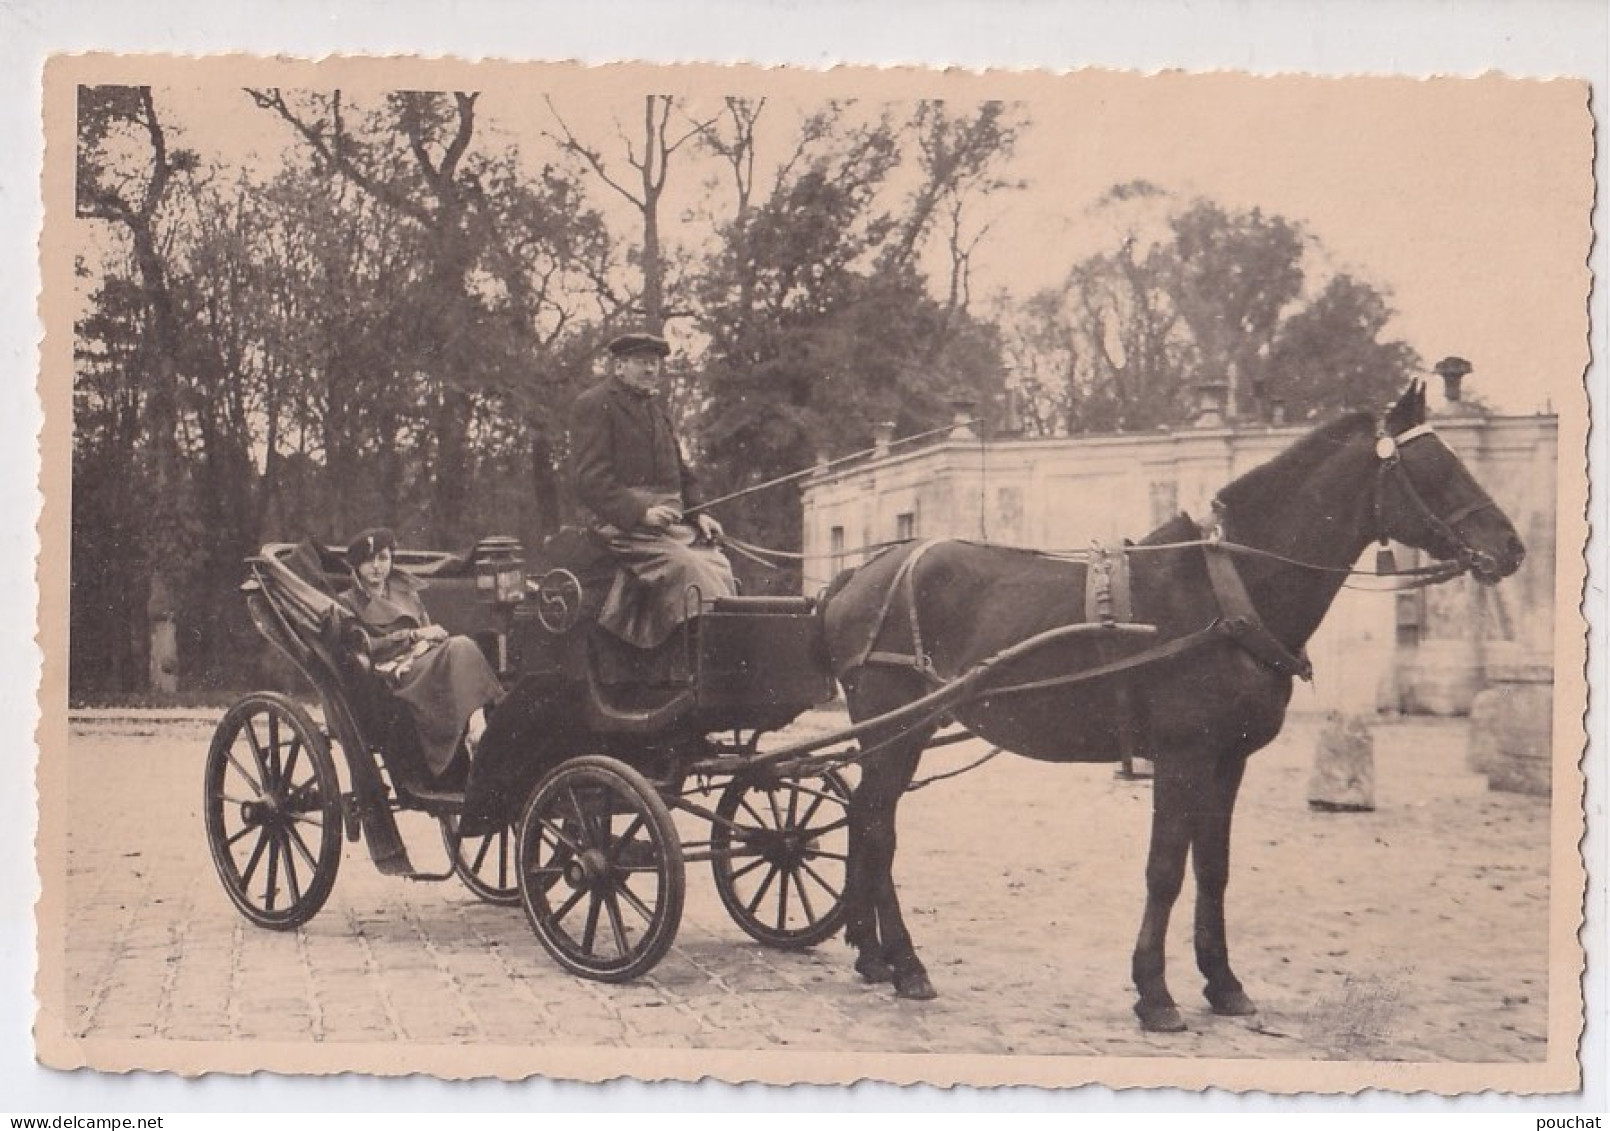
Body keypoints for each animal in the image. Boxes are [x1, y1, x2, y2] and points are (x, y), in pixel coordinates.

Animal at [824, 385, 1526, 1031]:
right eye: (1436, 467)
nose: (1512, 548)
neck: (1231, 593)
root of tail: (863, 573)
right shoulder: (1182, 756)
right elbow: (1165, 869)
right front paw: (1155, 994)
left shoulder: (1228, 760)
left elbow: (1213, 869)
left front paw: (1223, 983)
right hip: (896, 731)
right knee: (879, 826)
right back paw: (907, 964)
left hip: (901, 733)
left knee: (865, 817)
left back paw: (874, 956)